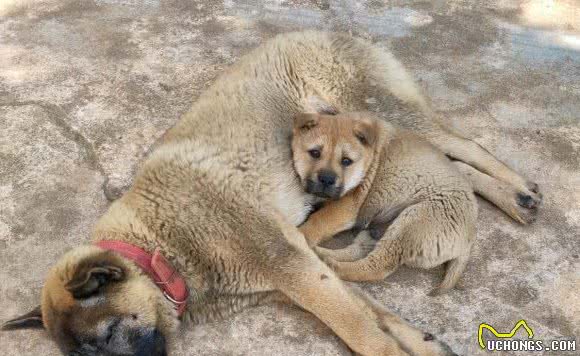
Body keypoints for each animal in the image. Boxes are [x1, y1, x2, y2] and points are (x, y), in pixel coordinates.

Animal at [3, 32, 540, 354]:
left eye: (109, 334)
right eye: (81, 354)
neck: (161, 245)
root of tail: (323, 31)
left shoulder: (290, 264)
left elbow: (358, 326)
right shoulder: (296, 271)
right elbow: (371, 311)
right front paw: (423, 341)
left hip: (383, 113)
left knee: (465, 146)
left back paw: (521, 193)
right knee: (453, 165)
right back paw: (513, 199)